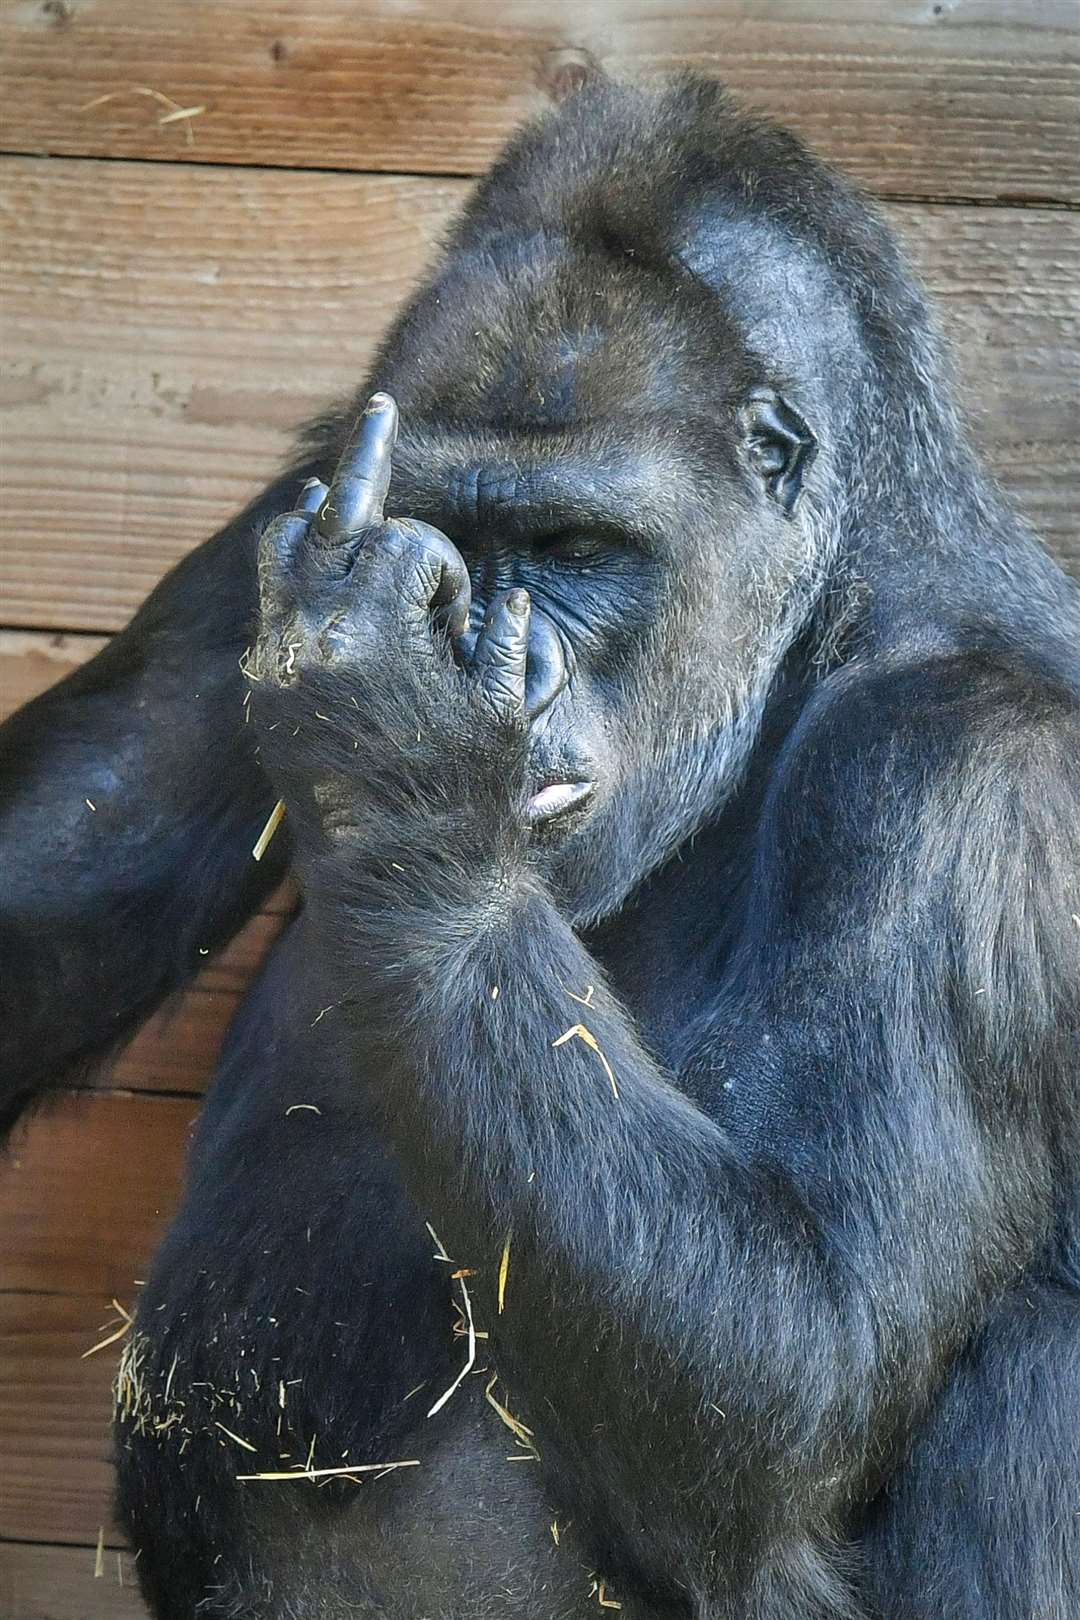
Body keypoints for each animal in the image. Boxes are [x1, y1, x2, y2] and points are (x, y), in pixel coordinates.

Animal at [2, 72, 1080, 1620]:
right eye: (443, 532)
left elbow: (799, 1350)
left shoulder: (973, 781)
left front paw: (402, 744)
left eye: (577, 548)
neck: (830, 606)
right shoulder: (290, 515)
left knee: (1027, 1368)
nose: (490, 656)